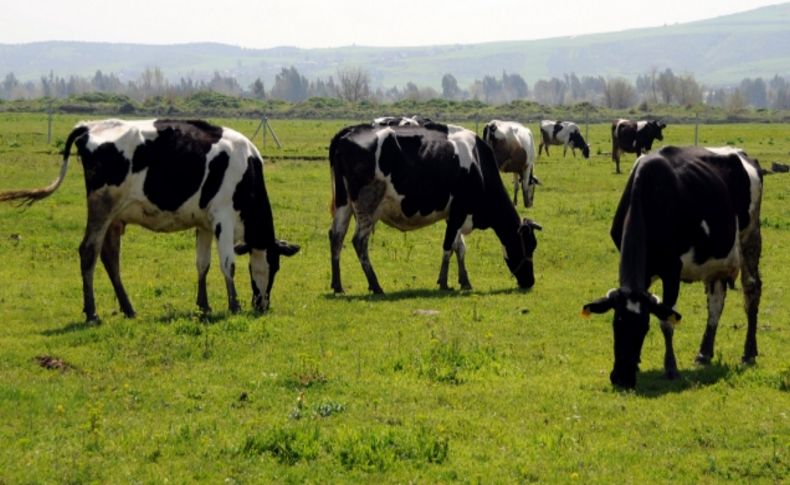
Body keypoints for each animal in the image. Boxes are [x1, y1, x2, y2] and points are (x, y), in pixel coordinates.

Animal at [0, 118, 300, 322]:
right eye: (274, 266)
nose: (262, 305)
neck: (247, 170)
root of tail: (89, 126)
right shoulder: (223, 219)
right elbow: (228, 265)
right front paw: (234, 305)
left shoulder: (204, 224)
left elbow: (202, 264)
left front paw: (203, 305)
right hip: (102, 207)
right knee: (89, 251)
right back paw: (92, 313)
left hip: (115, 217)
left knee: (110, 258)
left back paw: (128, 308)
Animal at [328, 121, 544, 294]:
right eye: (529, 246)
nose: (530, 282)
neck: (478, 164)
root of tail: (348, 132)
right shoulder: (458, 212)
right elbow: (448, 247)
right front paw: (444, 282)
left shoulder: (454, 215)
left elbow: (460, 247)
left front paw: (464, 281)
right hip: (368, 206)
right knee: (359, 242)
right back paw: (375, 285)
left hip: (344, 203)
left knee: (336, 236)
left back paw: (338, 285)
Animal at [584, 146, 764, 388]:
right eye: (616, 324)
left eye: (643, 328)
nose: (622, 378)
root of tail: (742, 155)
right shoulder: (645, 274)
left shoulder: (671, 272)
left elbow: (666, 321)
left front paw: (671, 367)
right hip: (716, 261)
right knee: (716, 301)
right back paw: (704, 353)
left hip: (750, 236)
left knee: (752, 290)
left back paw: (749, 352)